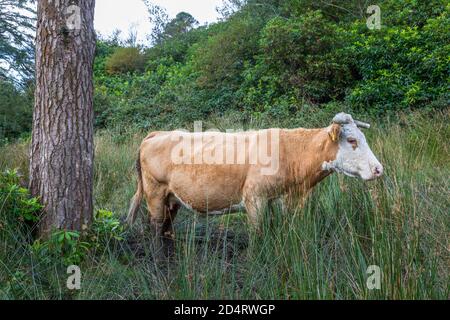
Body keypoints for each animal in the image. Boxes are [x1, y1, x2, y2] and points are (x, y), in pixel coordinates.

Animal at [126, 112, 384, 240]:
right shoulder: (254, 199)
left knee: (167, 227)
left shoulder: (281, 201)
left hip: (172, 199)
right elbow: (257, 236)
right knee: (156, 226)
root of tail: (158, 133)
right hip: (155, 193)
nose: (378, 169)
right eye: (352, 140)